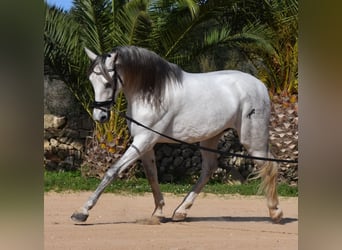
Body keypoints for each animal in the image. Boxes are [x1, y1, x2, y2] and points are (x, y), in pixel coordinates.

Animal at [71, 46, 284, 224]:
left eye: (108, 83)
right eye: (91, 81)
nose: (100, 116)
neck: (152, 94)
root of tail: (260, 85)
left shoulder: (144, 140)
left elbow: (112, 171)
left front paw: (82, 212)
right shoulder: (145, 143)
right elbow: (152, 176)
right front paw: (158, 212)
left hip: (253, 140)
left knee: (269, 165)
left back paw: (275, 212)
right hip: (210, 138)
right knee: (209, 168)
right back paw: (181, 211)